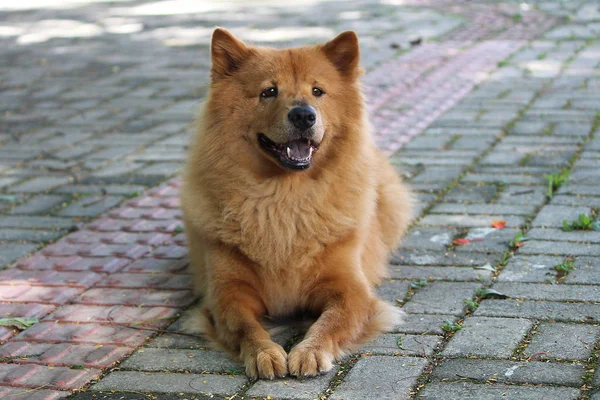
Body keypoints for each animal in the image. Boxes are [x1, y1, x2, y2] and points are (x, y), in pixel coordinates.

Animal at [179, 27, 412, 378]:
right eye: (269, 91)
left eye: (317, 91)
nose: (303, 115)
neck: (285, 198)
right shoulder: (228, 290)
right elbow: (246, 326)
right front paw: (265, 353)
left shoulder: (349, 288)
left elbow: (331, 321)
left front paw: (310, 351)